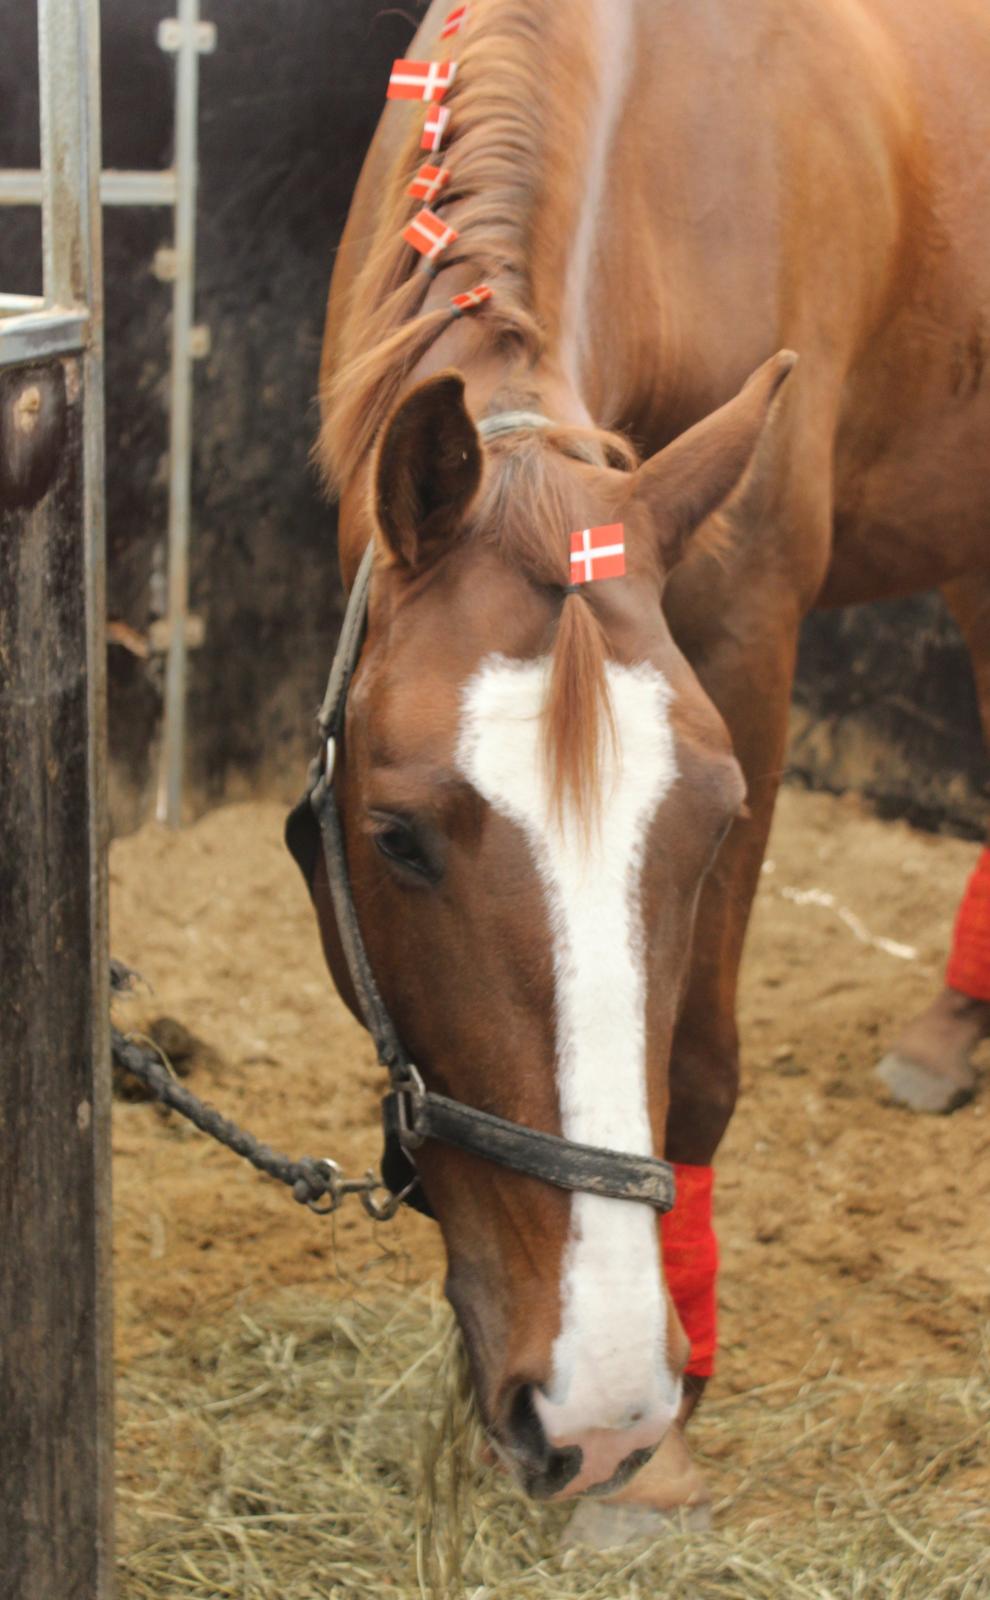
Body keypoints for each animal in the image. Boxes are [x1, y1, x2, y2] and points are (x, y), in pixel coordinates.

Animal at [297, 0, 990, 1529]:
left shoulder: (746, 627)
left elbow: (702, 1063)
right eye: (394, 836)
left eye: (715, 824)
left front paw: (663, 1432)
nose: (593, 1405)